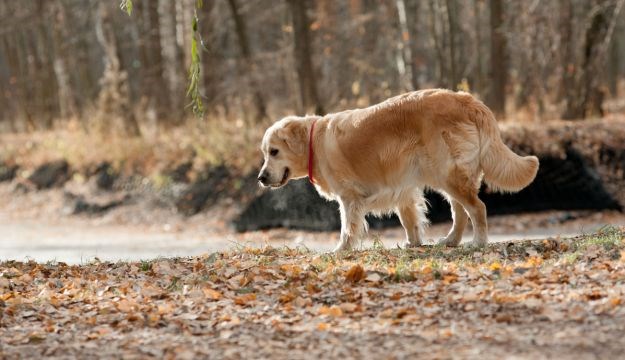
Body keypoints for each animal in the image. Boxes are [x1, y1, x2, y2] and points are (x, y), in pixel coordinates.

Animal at [256, 89, 540, 252]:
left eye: (274, 152)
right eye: (265, 153)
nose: (261, 178)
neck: (315, 142)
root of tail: (467, 100)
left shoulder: (349, 197)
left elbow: (348, 226)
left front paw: (341, 249)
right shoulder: (402, 188)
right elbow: (409, 220)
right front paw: (413, 243)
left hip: (447, 174)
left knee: (477, 208)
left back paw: (478, 242)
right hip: (446, 176)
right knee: (460, 211)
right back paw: (450, 241)